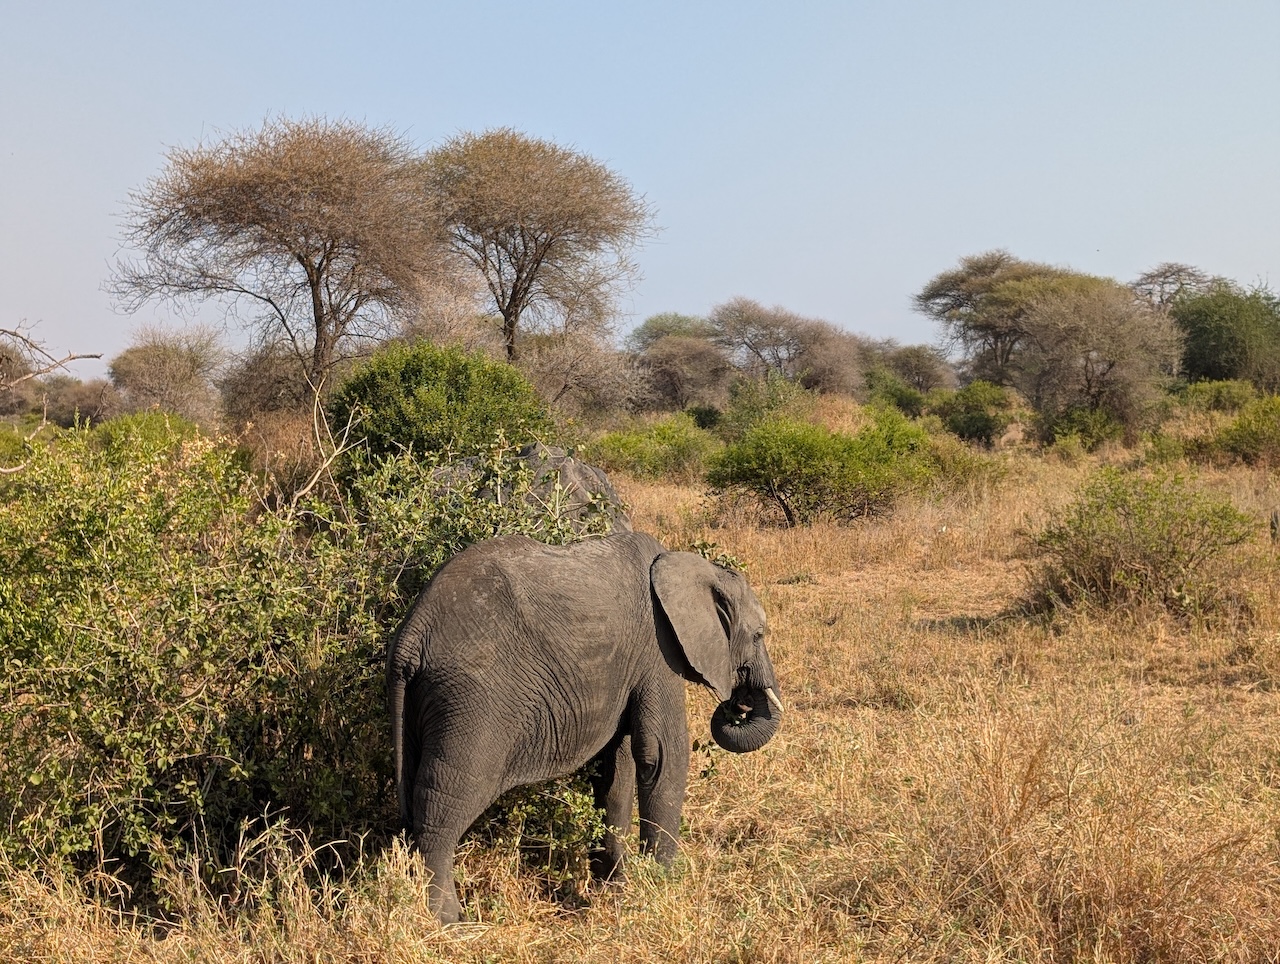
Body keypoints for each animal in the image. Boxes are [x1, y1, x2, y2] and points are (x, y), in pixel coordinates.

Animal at [386, 530, 782, 923]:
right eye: (759, 635)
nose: (738, 705)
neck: (693, 566)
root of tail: (411, 634)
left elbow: (615, 772)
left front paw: (614, 890)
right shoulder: (659, 649)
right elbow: (661, 756)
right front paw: (660, 888)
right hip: (472, 701)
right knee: (444, 801)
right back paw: (448, 921)